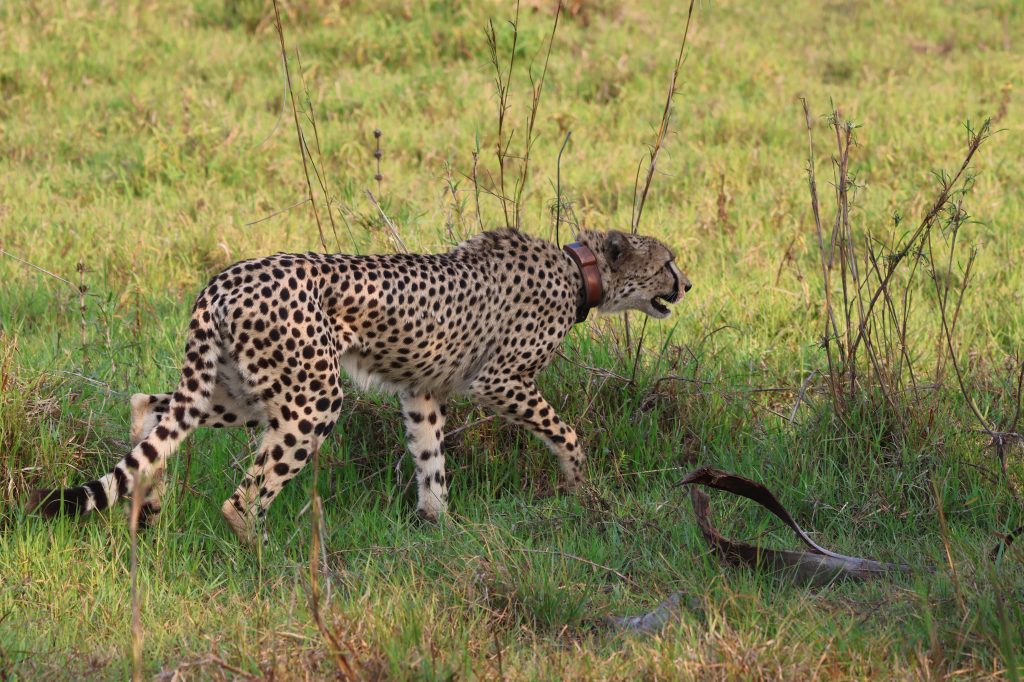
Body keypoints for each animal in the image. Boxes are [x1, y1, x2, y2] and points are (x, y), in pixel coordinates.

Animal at [32, 228, 692, 540]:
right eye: (666, 262)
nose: (687, 285)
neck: (582, 272)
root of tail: (224, 278)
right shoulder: (499, 380)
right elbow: (567, 433)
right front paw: (583, 490)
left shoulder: (421, 391)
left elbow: (430, 459)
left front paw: (439, 525)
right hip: (311, 397)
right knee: (242, 498)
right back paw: (269, 561)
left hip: (247, 389)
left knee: (154, 405)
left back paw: (148, 506)